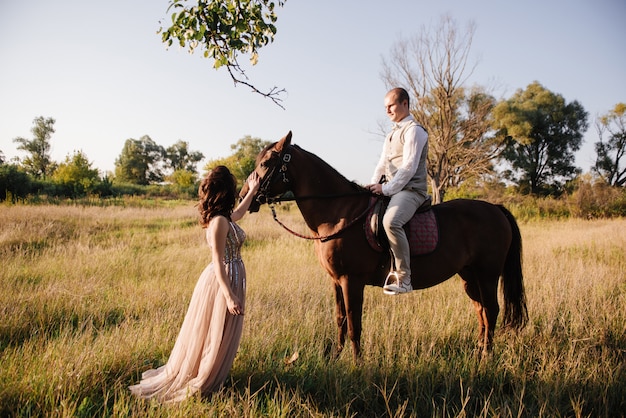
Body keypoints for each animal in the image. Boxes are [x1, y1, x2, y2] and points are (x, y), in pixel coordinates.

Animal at [240, 132, 528, 360]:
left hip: (488, 274)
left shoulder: (351, 280)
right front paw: (335, 357)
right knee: (481, 310)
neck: (339, 213)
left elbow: (354, 323)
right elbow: (340, 319)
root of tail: (496, 209)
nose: (244, 196)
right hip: (469, 275)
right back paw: (479, 350)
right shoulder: (335, 281)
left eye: (265, 163)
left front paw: (357, 364)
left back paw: (486, 355)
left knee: (491, 310)